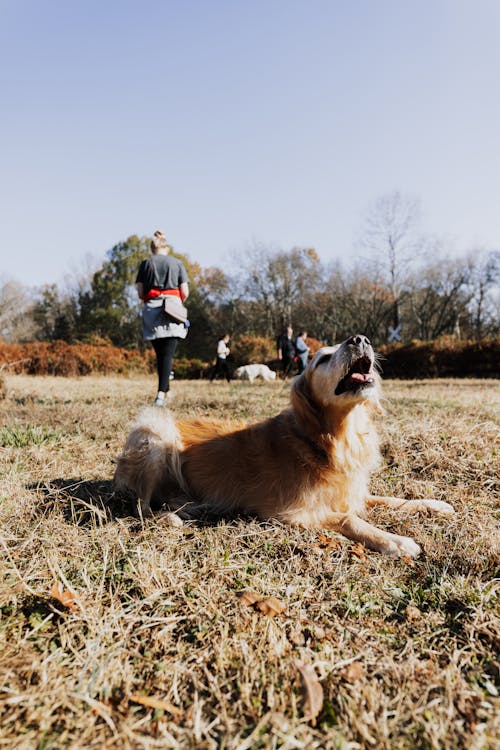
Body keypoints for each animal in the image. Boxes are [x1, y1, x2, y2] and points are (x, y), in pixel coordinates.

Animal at [114, 334, 458, 560]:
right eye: (322, 359)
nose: (360, 338)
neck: (329, 438)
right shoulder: (291, 512)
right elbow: (349, 519)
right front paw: (396, 541)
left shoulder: (352, 494)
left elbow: (393, 499)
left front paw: (434, 505)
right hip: (155, 431)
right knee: (141, 506)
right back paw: (170, 517)